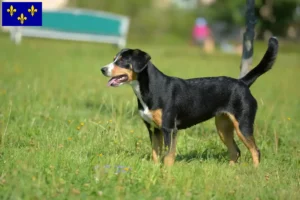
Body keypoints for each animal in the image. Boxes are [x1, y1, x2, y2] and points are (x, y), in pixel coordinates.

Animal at [101, 36, 278, 166]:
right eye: (114, 59)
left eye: (122, 61)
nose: (102, 69)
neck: (150, 89)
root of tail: (242, 82)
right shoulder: (153, 129)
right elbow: (155, 153)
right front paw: (155, 168)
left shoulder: (169, 129)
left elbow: (168, 155)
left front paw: (166, 173)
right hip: (223, 127)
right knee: (236, 151)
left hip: (243, 125)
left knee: (255, 151)